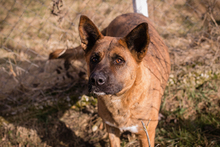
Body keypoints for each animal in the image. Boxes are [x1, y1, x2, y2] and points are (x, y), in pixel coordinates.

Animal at [49, 13, 170, 146]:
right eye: (94, 58)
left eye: (119, 60)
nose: (96, 80)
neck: (120, 100)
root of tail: (130, 13)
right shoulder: (112, 131)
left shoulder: (146, 135)